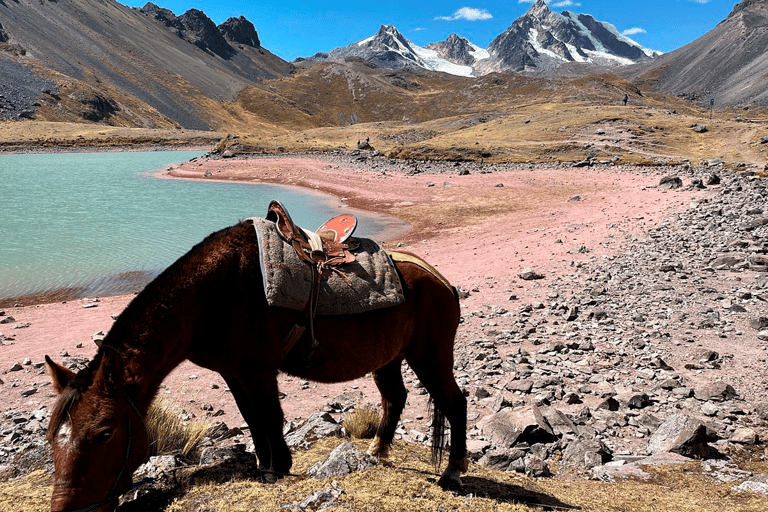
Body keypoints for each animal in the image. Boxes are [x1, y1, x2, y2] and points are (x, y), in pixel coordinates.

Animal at [46, 218, 468, 510]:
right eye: (53, 437)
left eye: (104, 433)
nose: (66, 508)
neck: (212, 297)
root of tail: (442, 282)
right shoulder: (234, 373)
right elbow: (252, 419)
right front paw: (265, 465)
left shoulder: (260, 371)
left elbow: (270, 417)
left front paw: (278, 467)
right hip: (389, 359)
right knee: (394, 398)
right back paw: (377, 452)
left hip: (429, 356)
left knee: (454, 402)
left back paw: (452, 472)